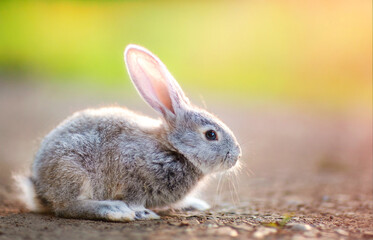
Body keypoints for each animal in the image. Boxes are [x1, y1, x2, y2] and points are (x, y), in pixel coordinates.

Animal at [16, 43, 241, 221]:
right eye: (211, 135)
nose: (236, 155)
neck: (173, 148)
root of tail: (39, 189)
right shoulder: (133, 178)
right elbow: (134, 199)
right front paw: (142, 213)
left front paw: (193, 204)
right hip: (73, 170)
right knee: (67, 207)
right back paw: (114, 210)